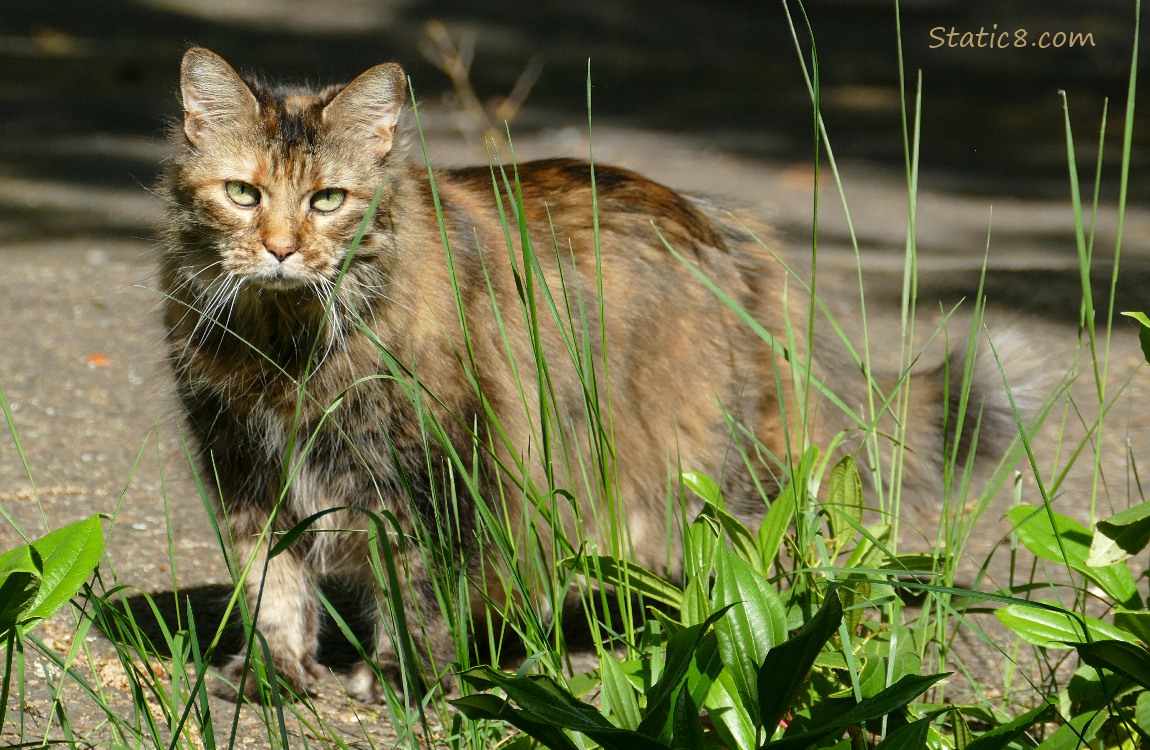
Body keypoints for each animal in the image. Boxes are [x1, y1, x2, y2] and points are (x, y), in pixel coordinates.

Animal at [157, 45, 1021, 703]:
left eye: (329, 200)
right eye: (244, 194)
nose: (280, 249)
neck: (286, 350)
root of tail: (721, 225)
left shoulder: (440, 475)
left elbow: (421, 593)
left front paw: (404, 681)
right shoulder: (246, 471)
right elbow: (273, 588)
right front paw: (272, 678)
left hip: (706, 473)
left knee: (784, 560)